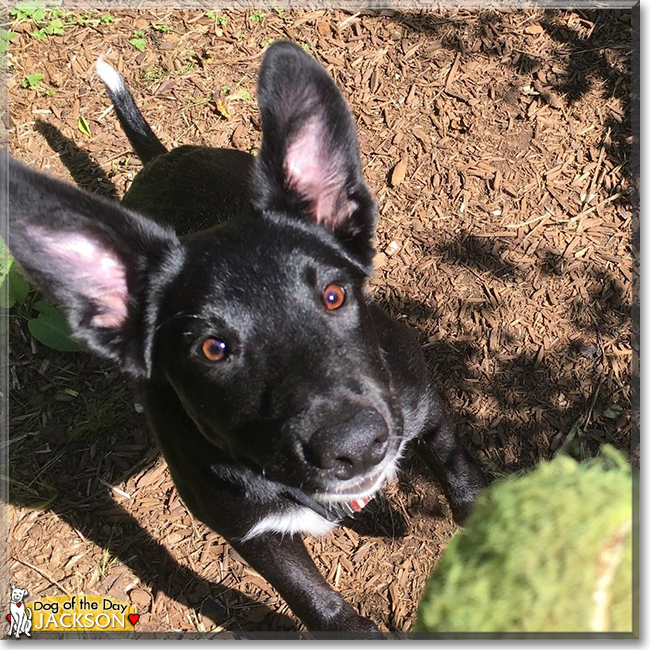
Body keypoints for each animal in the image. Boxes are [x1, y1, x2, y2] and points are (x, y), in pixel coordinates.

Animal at [3, 43, 480, 632]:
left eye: (334, 295)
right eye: (213, 349)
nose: (354, 445)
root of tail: (162, 159)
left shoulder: (426, 411)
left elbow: (462, 482)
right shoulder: (250, 531)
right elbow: (315, 602)